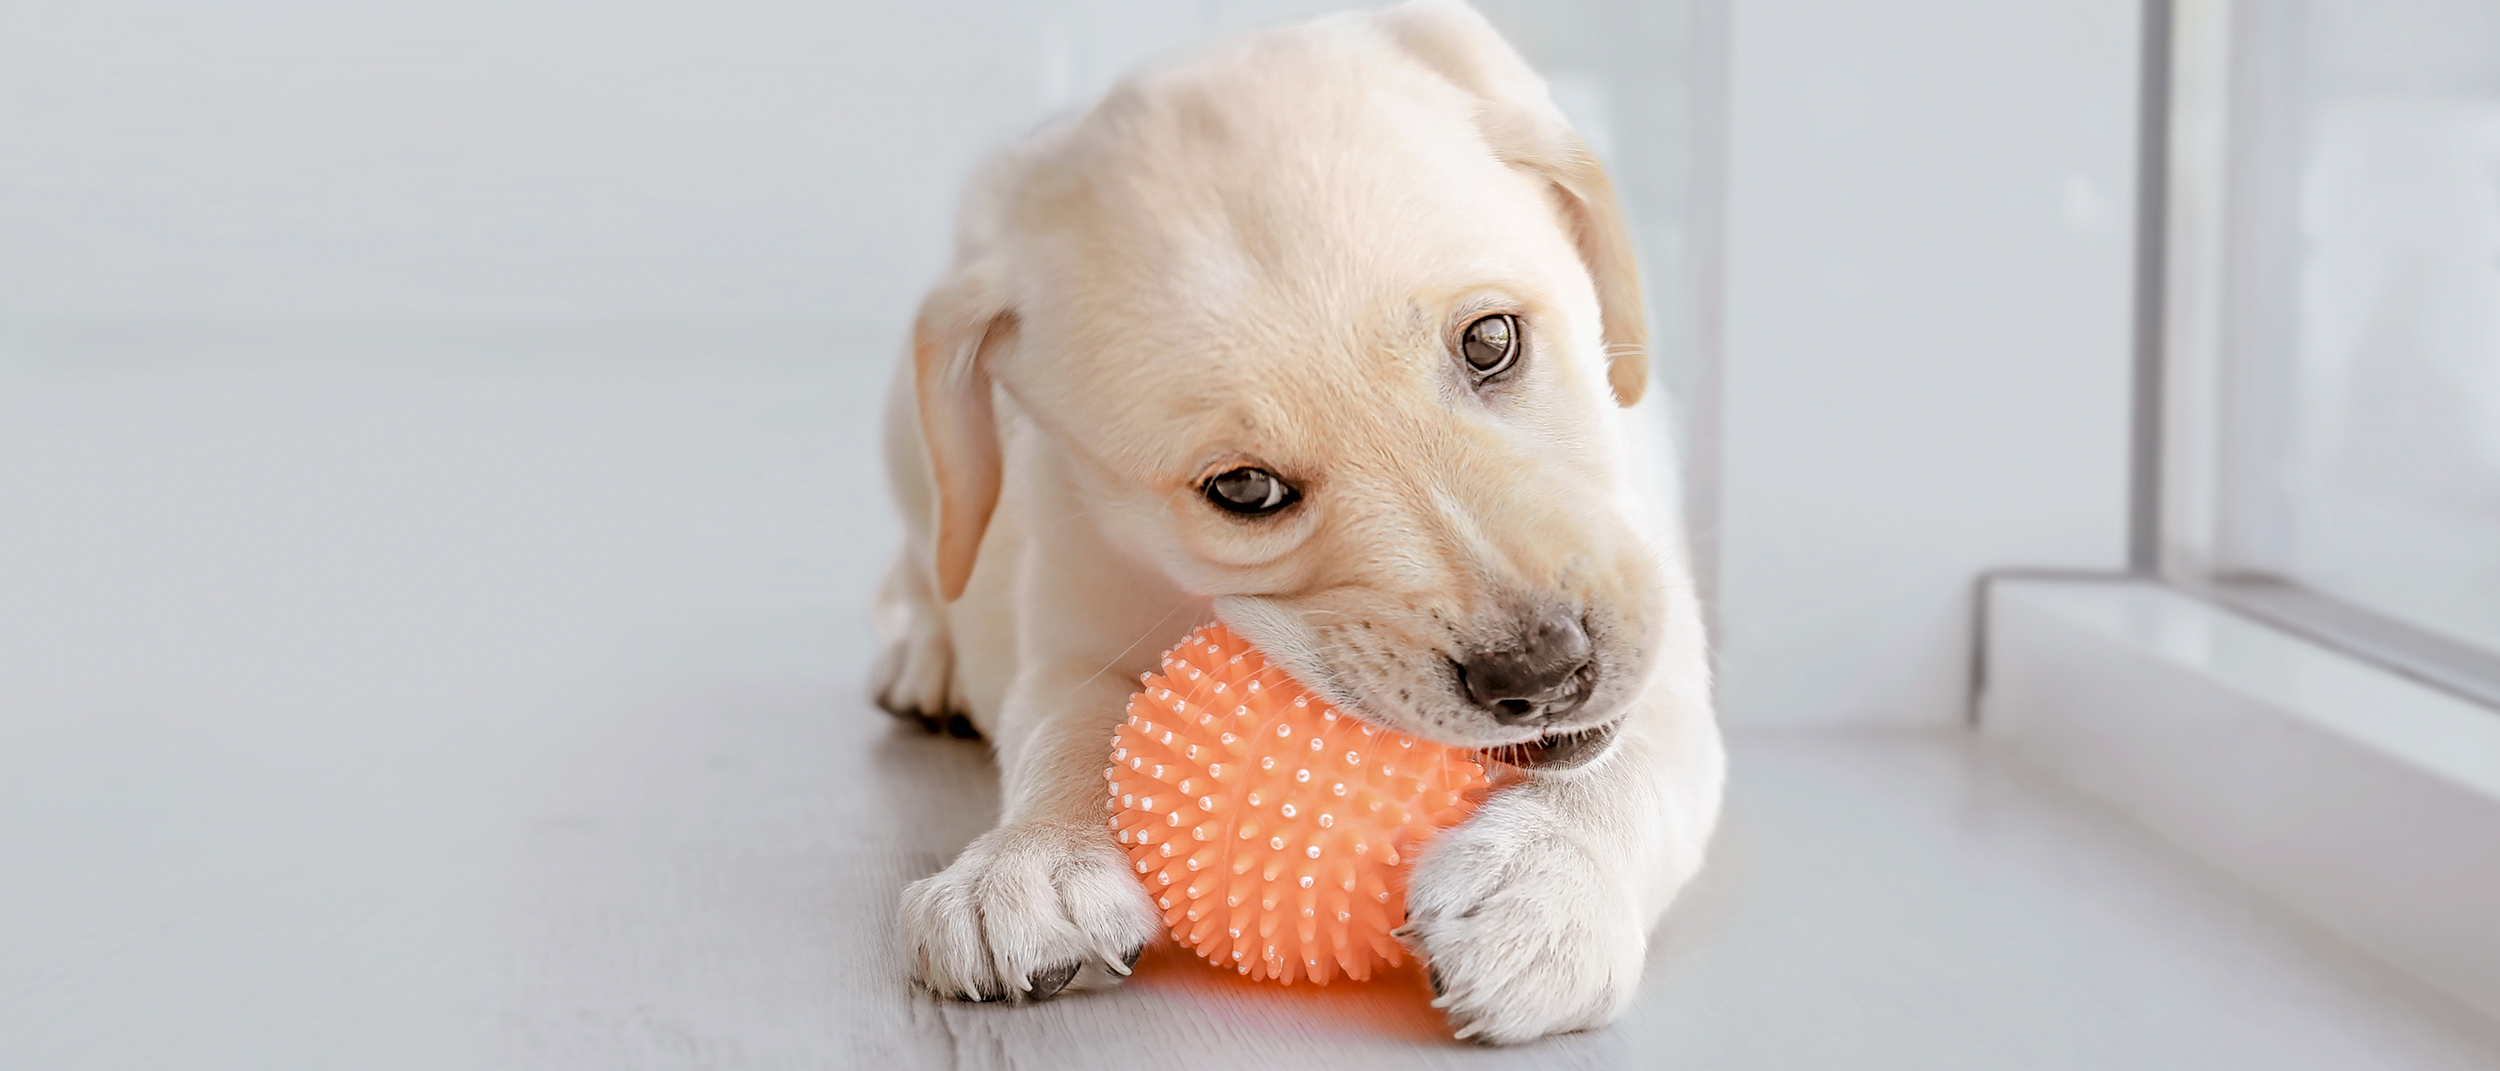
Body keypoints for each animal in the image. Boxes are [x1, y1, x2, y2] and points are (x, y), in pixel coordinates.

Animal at [875, 0, 1720, 1040]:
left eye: (1491, 340)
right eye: (1245, 490)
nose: (1544, 671)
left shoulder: (1661, 635)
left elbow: (1631, 754)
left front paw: (1542, 885)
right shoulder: (1069, 623)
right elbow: (1070, 729)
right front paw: (1028, 859)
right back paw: (926, 654)